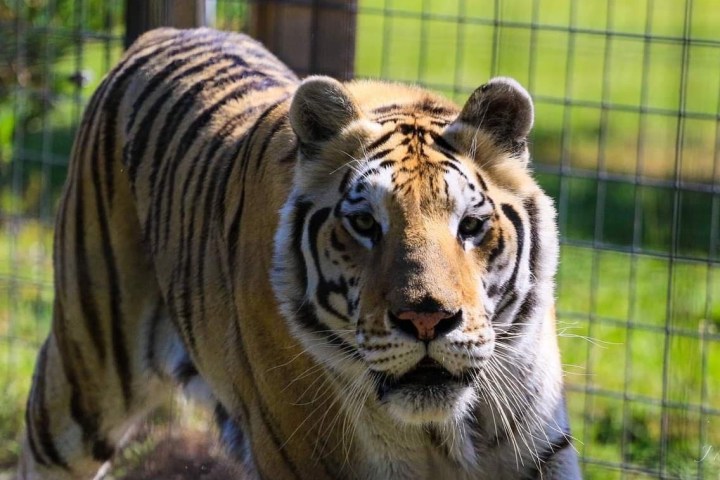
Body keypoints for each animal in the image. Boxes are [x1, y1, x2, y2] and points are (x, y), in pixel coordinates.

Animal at [19, 27, 584, 480]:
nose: (427, 320)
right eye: (364, 224)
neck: (444, 430)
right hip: (83, 381)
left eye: (470, 226)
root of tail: (164, 32)